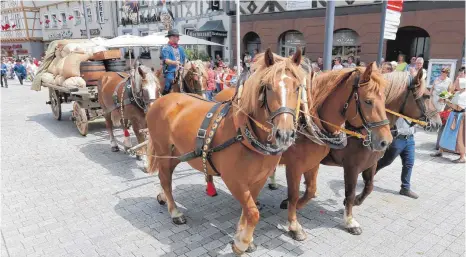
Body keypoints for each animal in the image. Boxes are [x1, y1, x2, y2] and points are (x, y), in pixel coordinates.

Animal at [146, 48, 306, 254]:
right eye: (268, 87)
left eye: (297, 87)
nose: (284, 133)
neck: (244, 133)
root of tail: (161, 100)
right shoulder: (234, 180)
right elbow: (253, 213)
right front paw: (241, 243)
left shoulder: (258, 179)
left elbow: (248, 210)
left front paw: (242, 236)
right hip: (163, 151)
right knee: (165, 178)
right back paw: (174, 211)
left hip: (177, 153)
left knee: (164, 175)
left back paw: (163, 198)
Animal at [215, 63, 394, 239]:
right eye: (368, 101)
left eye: (385, 99)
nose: (385, 141)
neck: (310, 122)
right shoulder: (304, 166)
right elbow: (300, 194)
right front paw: (295, 224)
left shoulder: (316, 164)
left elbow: (312, 190)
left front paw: (291, 205)